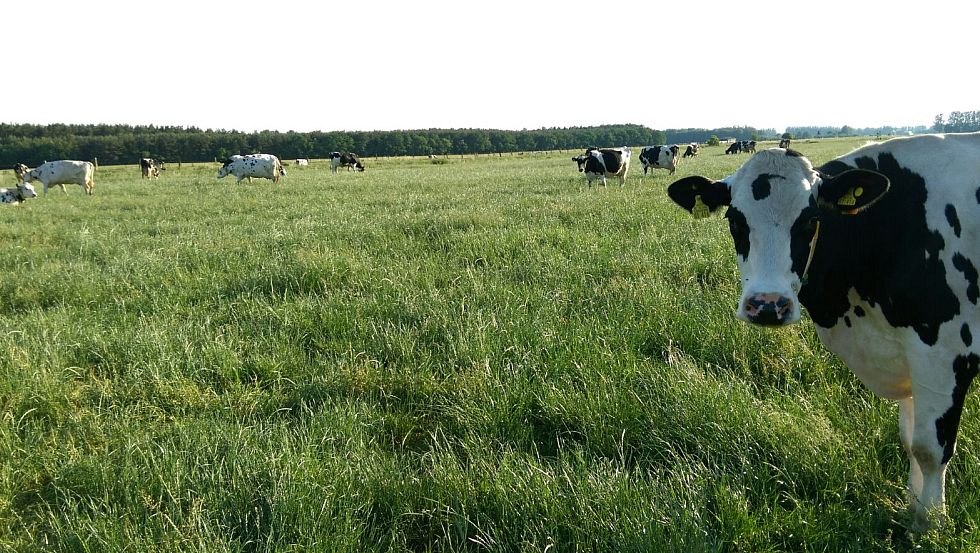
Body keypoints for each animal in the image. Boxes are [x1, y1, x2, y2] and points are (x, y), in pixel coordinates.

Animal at [666, 133, 980, 531]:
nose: (768, 305)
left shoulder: (944, 352)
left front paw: (930, 525)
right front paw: (914, 507)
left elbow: (929, 448)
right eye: (735, 220)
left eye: (811, 219)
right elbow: (910, 439)